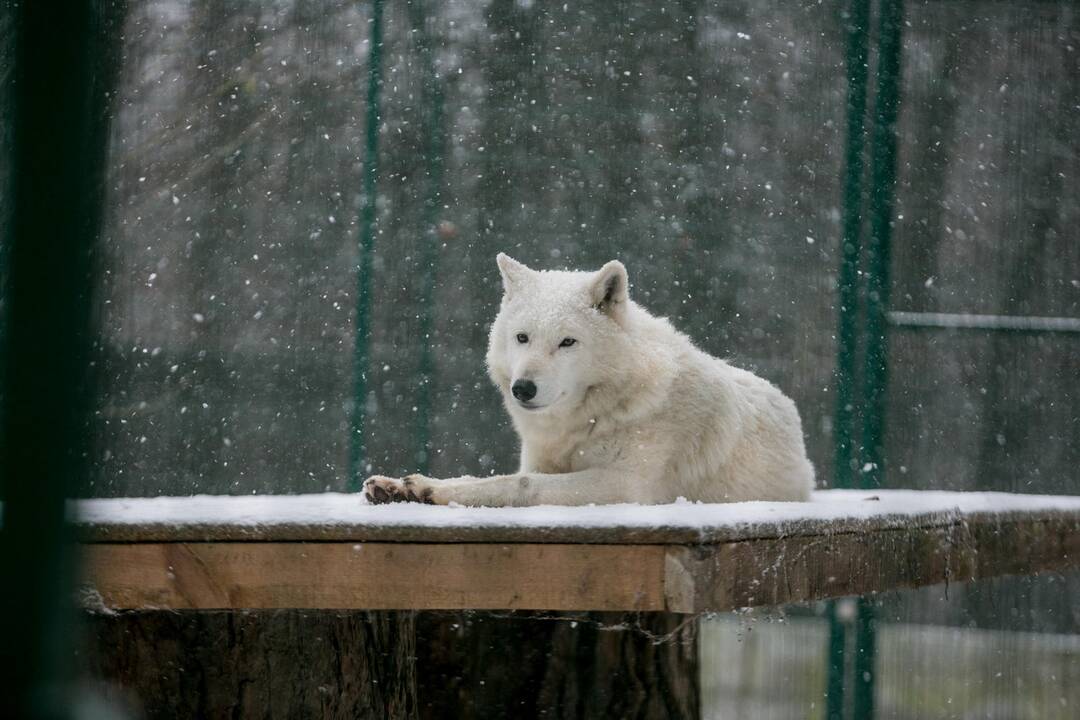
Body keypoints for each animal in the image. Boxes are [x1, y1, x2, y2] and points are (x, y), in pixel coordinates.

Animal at [362, 254, 812, 507]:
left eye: (567, 342)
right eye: (522, 338)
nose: (523, 388)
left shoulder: (624, 486)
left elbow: (520, 484)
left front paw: (434, 492)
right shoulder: (540, 459)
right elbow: (491, 476)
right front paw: (402, 486)